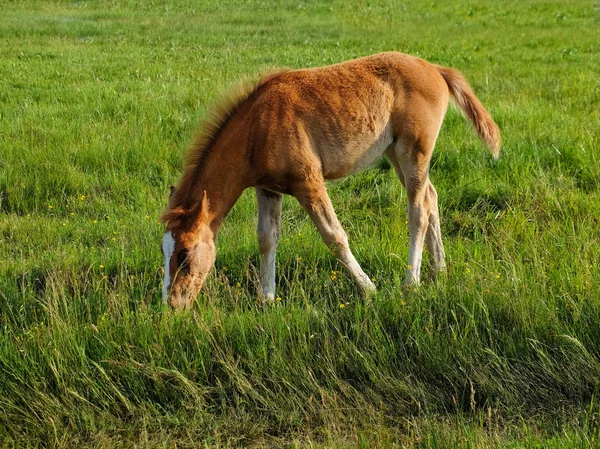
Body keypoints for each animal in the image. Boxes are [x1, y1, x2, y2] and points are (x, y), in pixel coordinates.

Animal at [161, 50, 502, 308]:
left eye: (185, 255)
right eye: (164, 250)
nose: (173, 305)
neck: (256, 128)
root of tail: (434, 69)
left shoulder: (308, 182)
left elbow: (334, 235)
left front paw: (369, 289)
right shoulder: (267, 188)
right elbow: (266, 238)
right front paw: (266, 299)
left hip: (414, 150)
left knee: (417, 210)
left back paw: (411, 282)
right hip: (394, 153)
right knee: (431, 198)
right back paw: (439, 270)